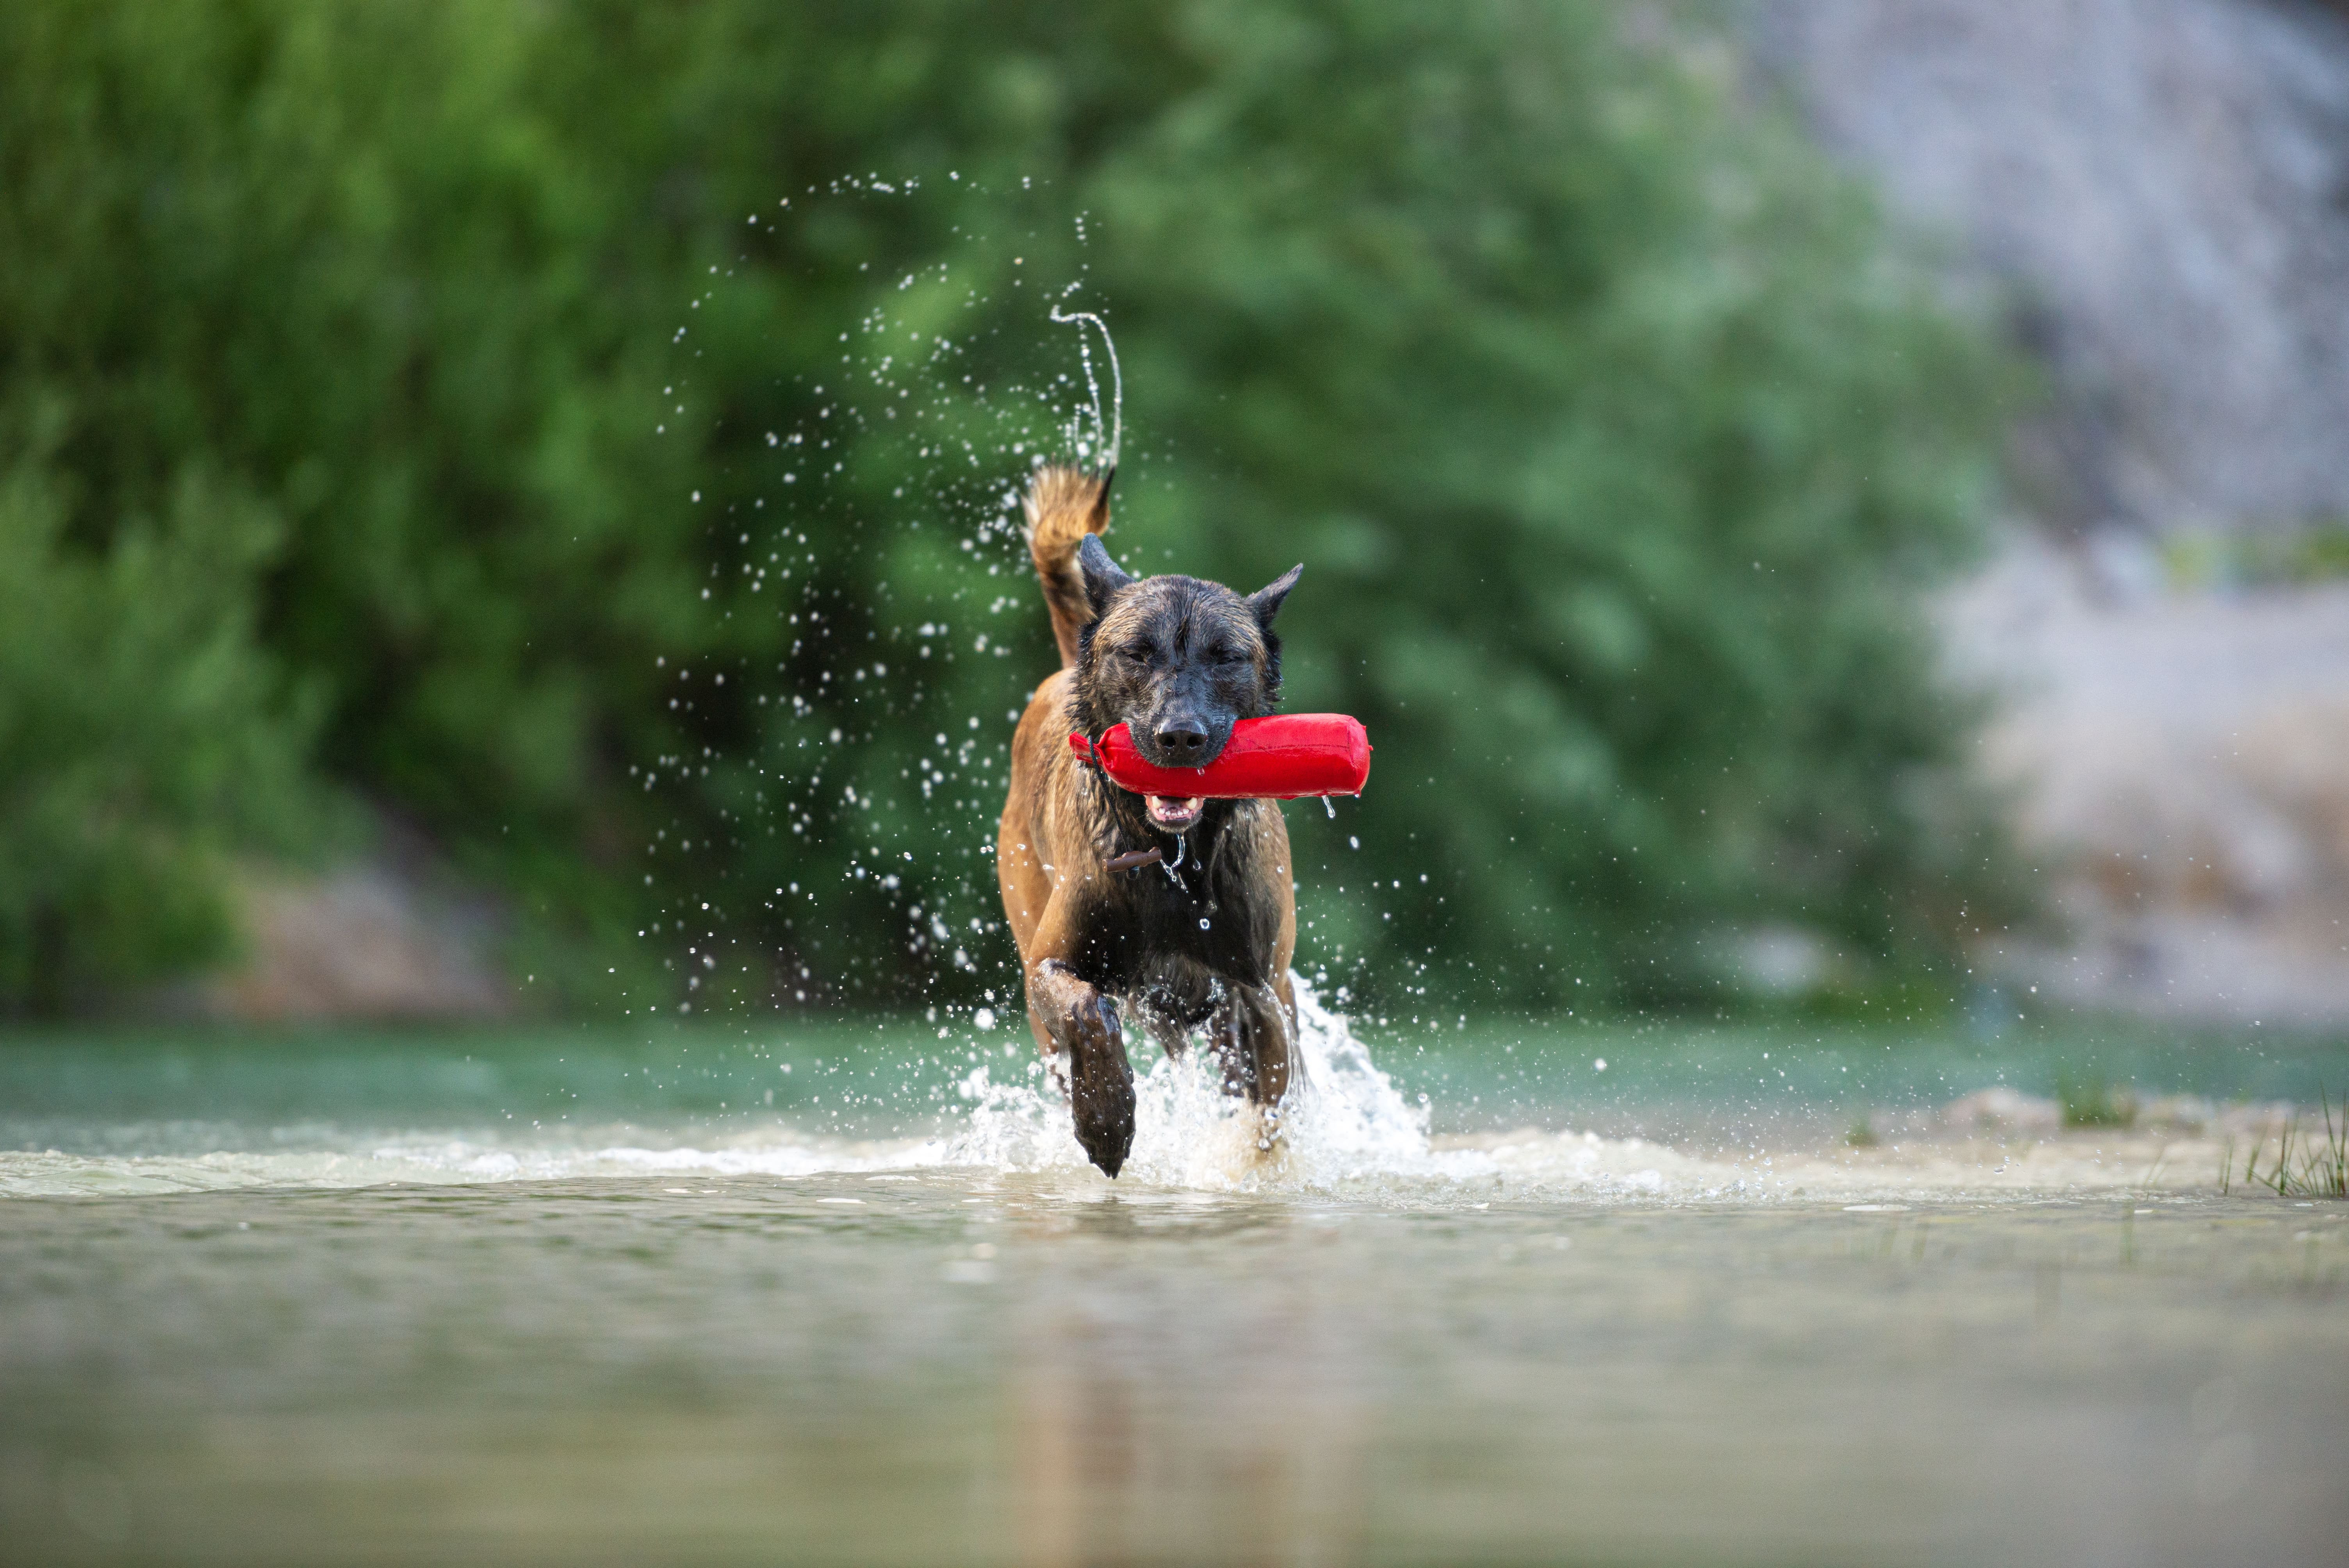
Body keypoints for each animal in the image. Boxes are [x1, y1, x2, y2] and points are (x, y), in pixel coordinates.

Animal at [991, 465, 1306, 1173]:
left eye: (1226, 656)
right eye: (1136, 652)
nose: (1179, 736)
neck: (1174, 863)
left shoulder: (1262, 989)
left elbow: (1270, 1103)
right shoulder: (1050, 967)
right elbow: (1086, 1008)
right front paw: (1107, 1117)